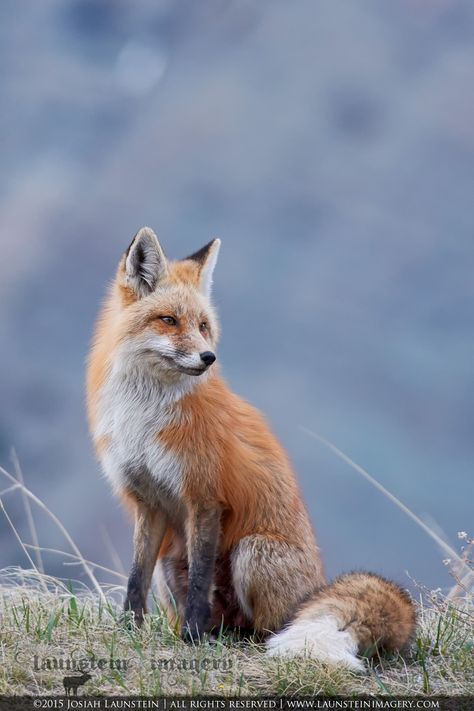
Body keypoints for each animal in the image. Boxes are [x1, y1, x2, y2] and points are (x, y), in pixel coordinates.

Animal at [86, 229, 414, 672]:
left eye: (203, 326)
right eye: (168, 320)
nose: (208, 357)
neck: (146, 417)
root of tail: (317, 587)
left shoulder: (205, 497)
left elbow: (200, 584)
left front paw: (191, 639)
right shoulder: (148, 501)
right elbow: (135, 579)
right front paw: (128, 632)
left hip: (251, 552)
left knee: (268, 629)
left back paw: (229, 637)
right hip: (170, 566)